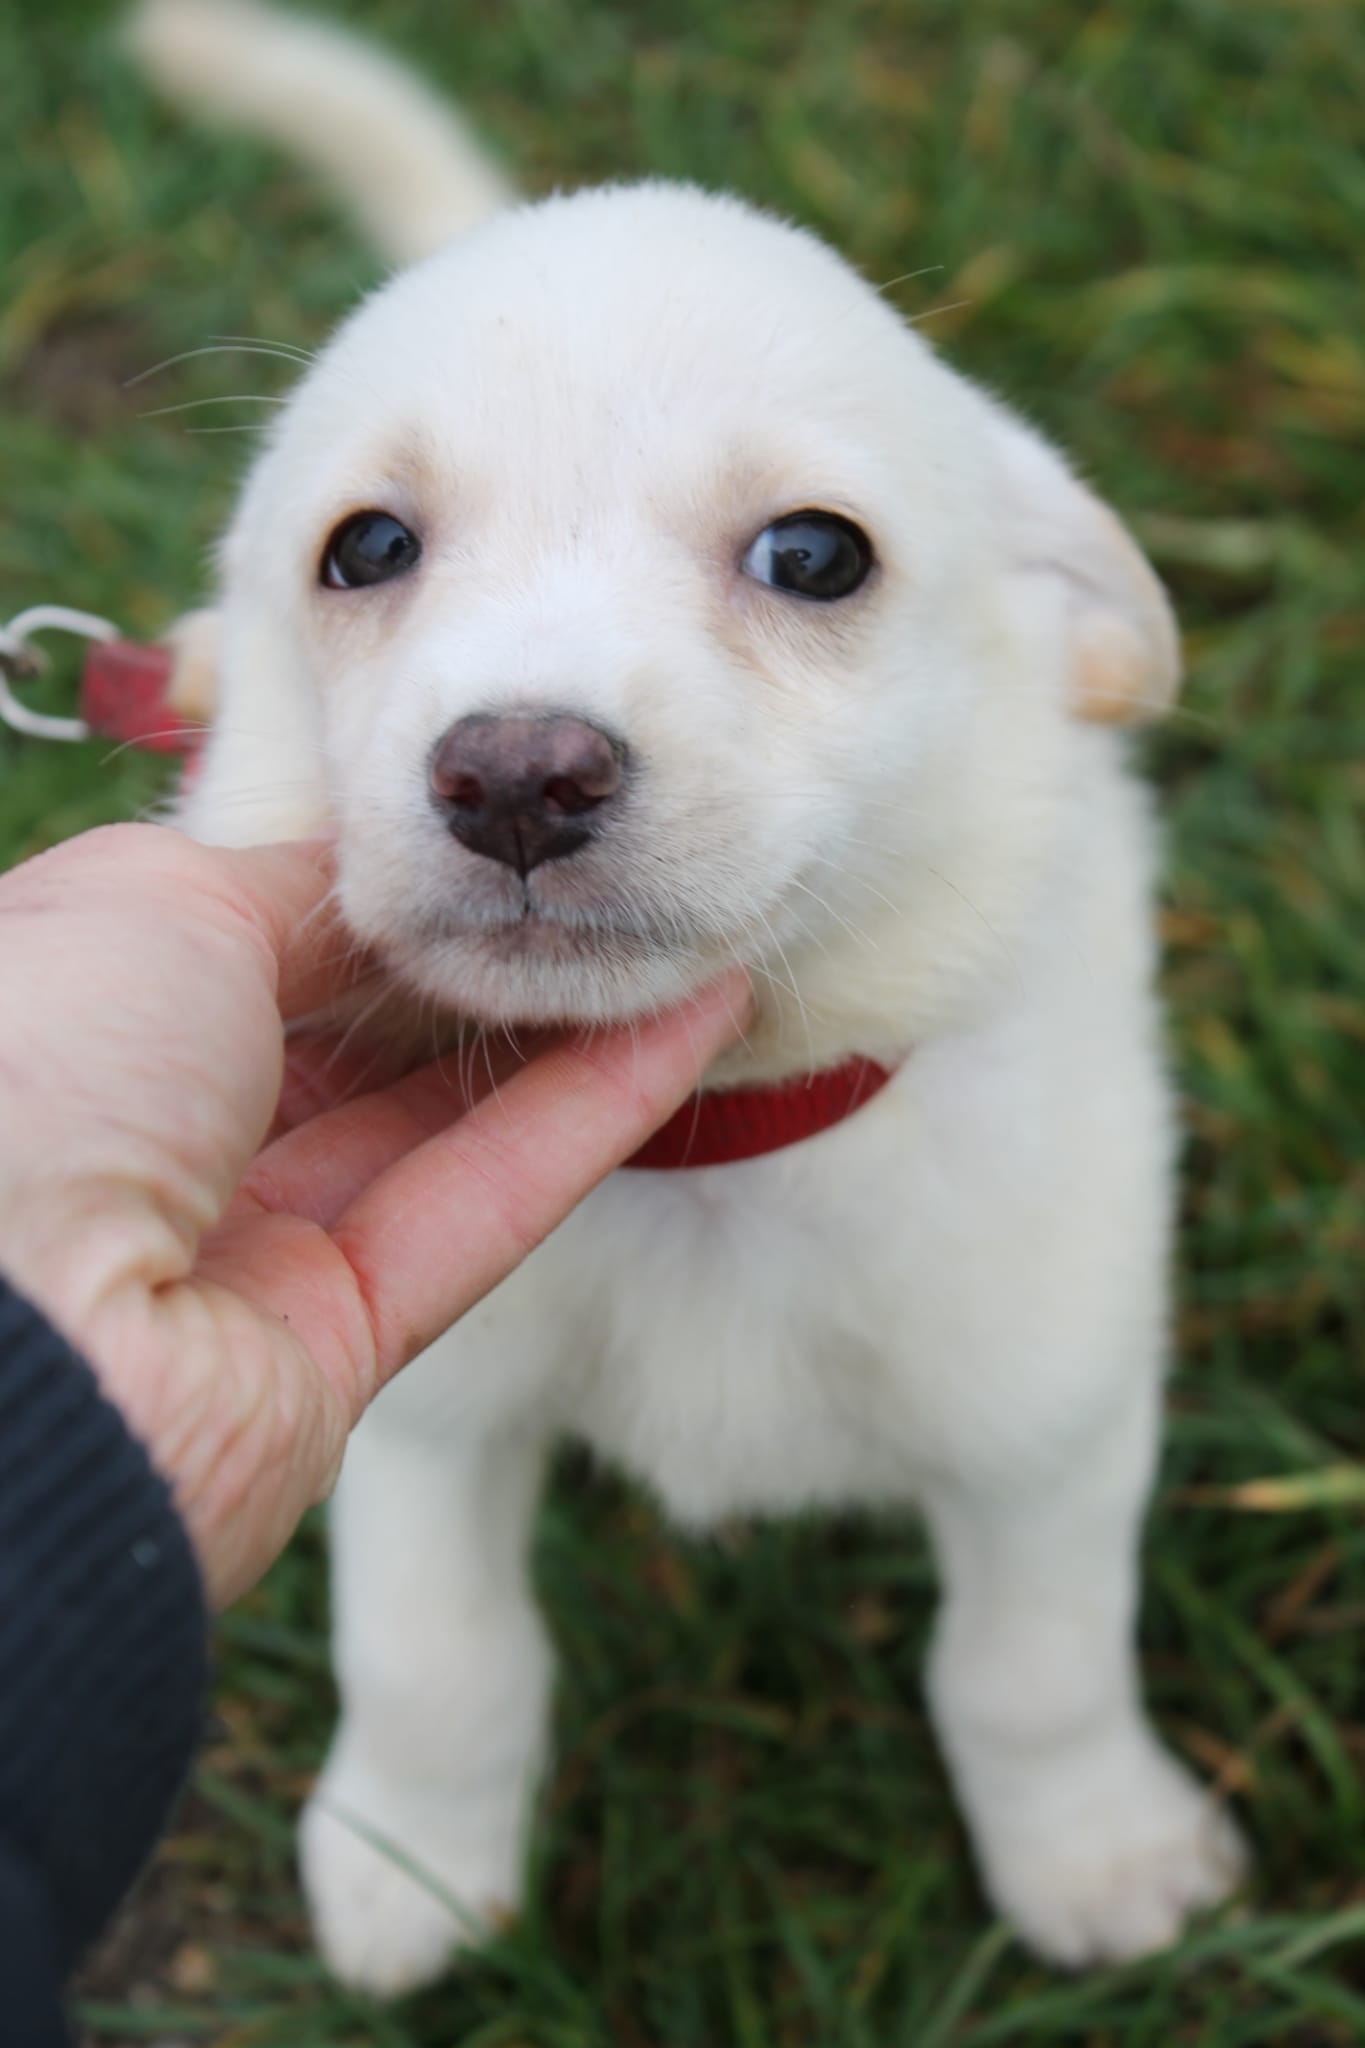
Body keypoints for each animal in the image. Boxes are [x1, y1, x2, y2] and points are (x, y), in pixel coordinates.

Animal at [130, 0, 1244, 1996]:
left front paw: (1096, 1851)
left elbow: (1028, 1667)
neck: (712, 1157)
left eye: (814, 553)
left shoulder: (1052, 1404)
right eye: (365, 548)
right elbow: (432, 1654)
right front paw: (411, 1863)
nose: (514, 774)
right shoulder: (428, 1413)